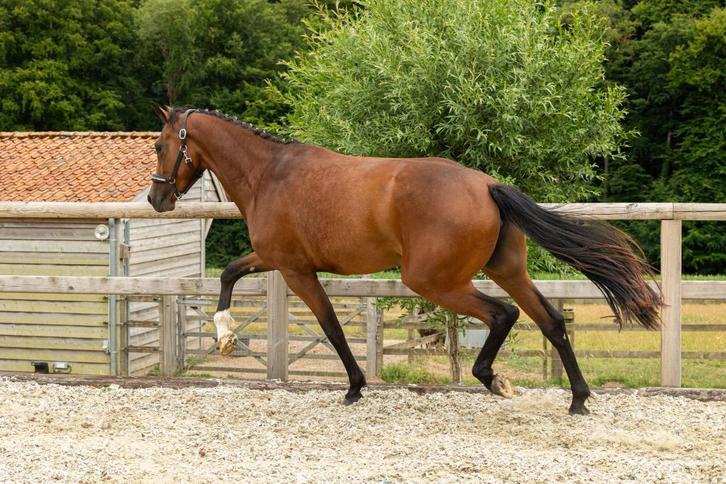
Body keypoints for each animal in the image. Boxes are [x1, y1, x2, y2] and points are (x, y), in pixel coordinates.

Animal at [148, 106, 662, 415]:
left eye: (159, 144)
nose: (156, 198)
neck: (270, 174)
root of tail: (486, 185)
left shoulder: (295, 270)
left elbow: (331, 327)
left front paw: (354, 387)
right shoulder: (274, 259)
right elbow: (230, 273)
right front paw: (225, 337)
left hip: (434, 281)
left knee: (503, 314)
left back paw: (493, 380)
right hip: (507, 269)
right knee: (550, 319)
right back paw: (578, 399)